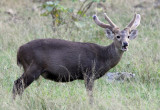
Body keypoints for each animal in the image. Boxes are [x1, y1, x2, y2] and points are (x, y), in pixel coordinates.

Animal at [12, 13, 140, 103]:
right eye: (117, 36)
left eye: (128, 36)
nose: (125, 44)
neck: (102, 57)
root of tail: (19, 50)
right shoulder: (88, 72)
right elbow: (90, 95)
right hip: (33, 67)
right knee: (17, 84)